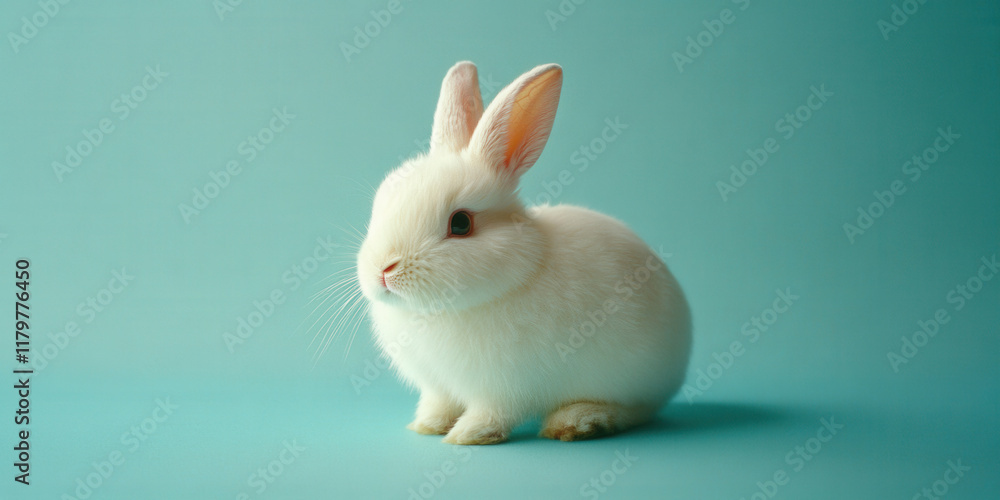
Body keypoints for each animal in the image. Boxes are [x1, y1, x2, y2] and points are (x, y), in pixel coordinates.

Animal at [356, 61, 691, 445]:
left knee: (635, 411)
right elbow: (438, 404)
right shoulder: (438, 386)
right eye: (380, 203)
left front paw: (466, 436)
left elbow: (492, 413)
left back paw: (578, 421)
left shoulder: (502, 388)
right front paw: (427, 426)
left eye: (461, 223)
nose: (383, 270)